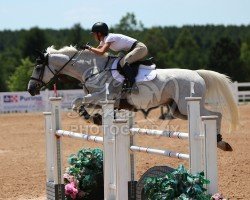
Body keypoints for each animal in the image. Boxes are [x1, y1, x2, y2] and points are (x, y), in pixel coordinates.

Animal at [26, 46, 238, 151]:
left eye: (38, 67)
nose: (30, 89)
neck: (93, 68)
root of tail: (197, 74)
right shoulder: (102, 99)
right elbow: (79, 103)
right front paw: (95, 118)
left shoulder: (104, 96)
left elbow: (78, 101)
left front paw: (90, 117)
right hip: (178, 110)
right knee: (210, 115)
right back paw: (220, 142)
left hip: (188, 105)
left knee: (215, 115)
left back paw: (220, 140)